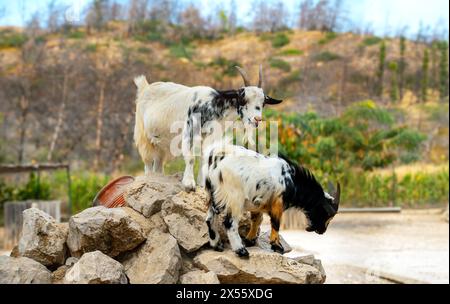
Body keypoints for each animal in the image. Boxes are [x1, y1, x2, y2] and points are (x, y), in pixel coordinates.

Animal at [132, 65, 284, 191]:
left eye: (263, 102)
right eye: (243, 99)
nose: (257, 119)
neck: (212, 104)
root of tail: (145, 87)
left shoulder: (211, 135)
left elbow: (205, 158)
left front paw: (201, 184)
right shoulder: (190, 130)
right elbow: (191, 158)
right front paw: (189, 184)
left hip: (161, 145)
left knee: (158, 162)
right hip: (143, 136)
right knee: (147, 161)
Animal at [202, 144, 340, 258]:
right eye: (327, 215)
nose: (322, 231)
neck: (291, 179)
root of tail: (214, 157)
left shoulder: (258, 204)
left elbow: (257, 220)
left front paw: (250, 240)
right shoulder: (278, 202)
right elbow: (275, 223)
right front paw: (277, 246)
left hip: (213, 194)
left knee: (209, 219)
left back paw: (216, 245)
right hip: (235, 199)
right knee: (229, 223)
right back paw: (241, 251)